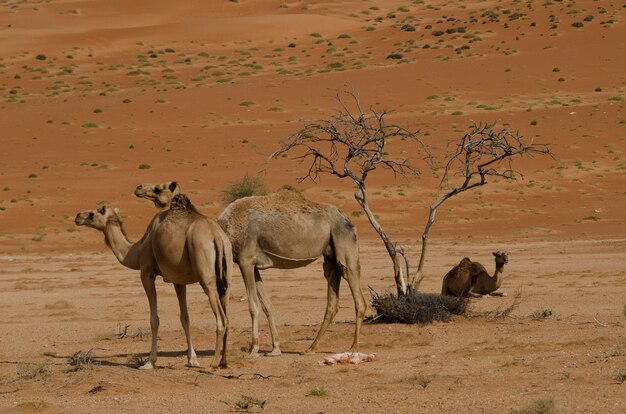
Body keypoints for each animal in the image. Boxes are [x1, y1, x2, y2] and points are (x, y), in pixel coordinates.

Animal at [75, 199, 232, 370]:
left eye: (93, 213)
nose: (78, 216)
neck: (136, 250)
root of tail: (216, 236)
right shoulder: (178, 280)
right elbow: (185, 318)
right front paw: (192, 360)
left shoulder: (146, 273)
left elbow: (154, 319)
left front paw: (149, 362)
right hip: (226, 275)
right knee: (227, 315)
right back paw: (224, 361)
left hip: (206, 277)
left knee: (221, 319)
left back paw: (213, 363)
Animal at [133, 183, 366, 358]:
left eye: (158, 188)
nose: (138, 189)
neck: (227, 228)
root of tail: (349, 220)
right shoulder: (254, 265)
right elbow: (267, 305)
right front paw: (275, 348)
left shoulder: (245, 260)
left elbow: (253, 306)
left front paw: (253, 349)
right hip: (330, 257)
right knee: (332, 301)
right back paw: (311, 348)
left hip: (345, 246)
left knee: (358, 297)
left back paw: (354, 348)